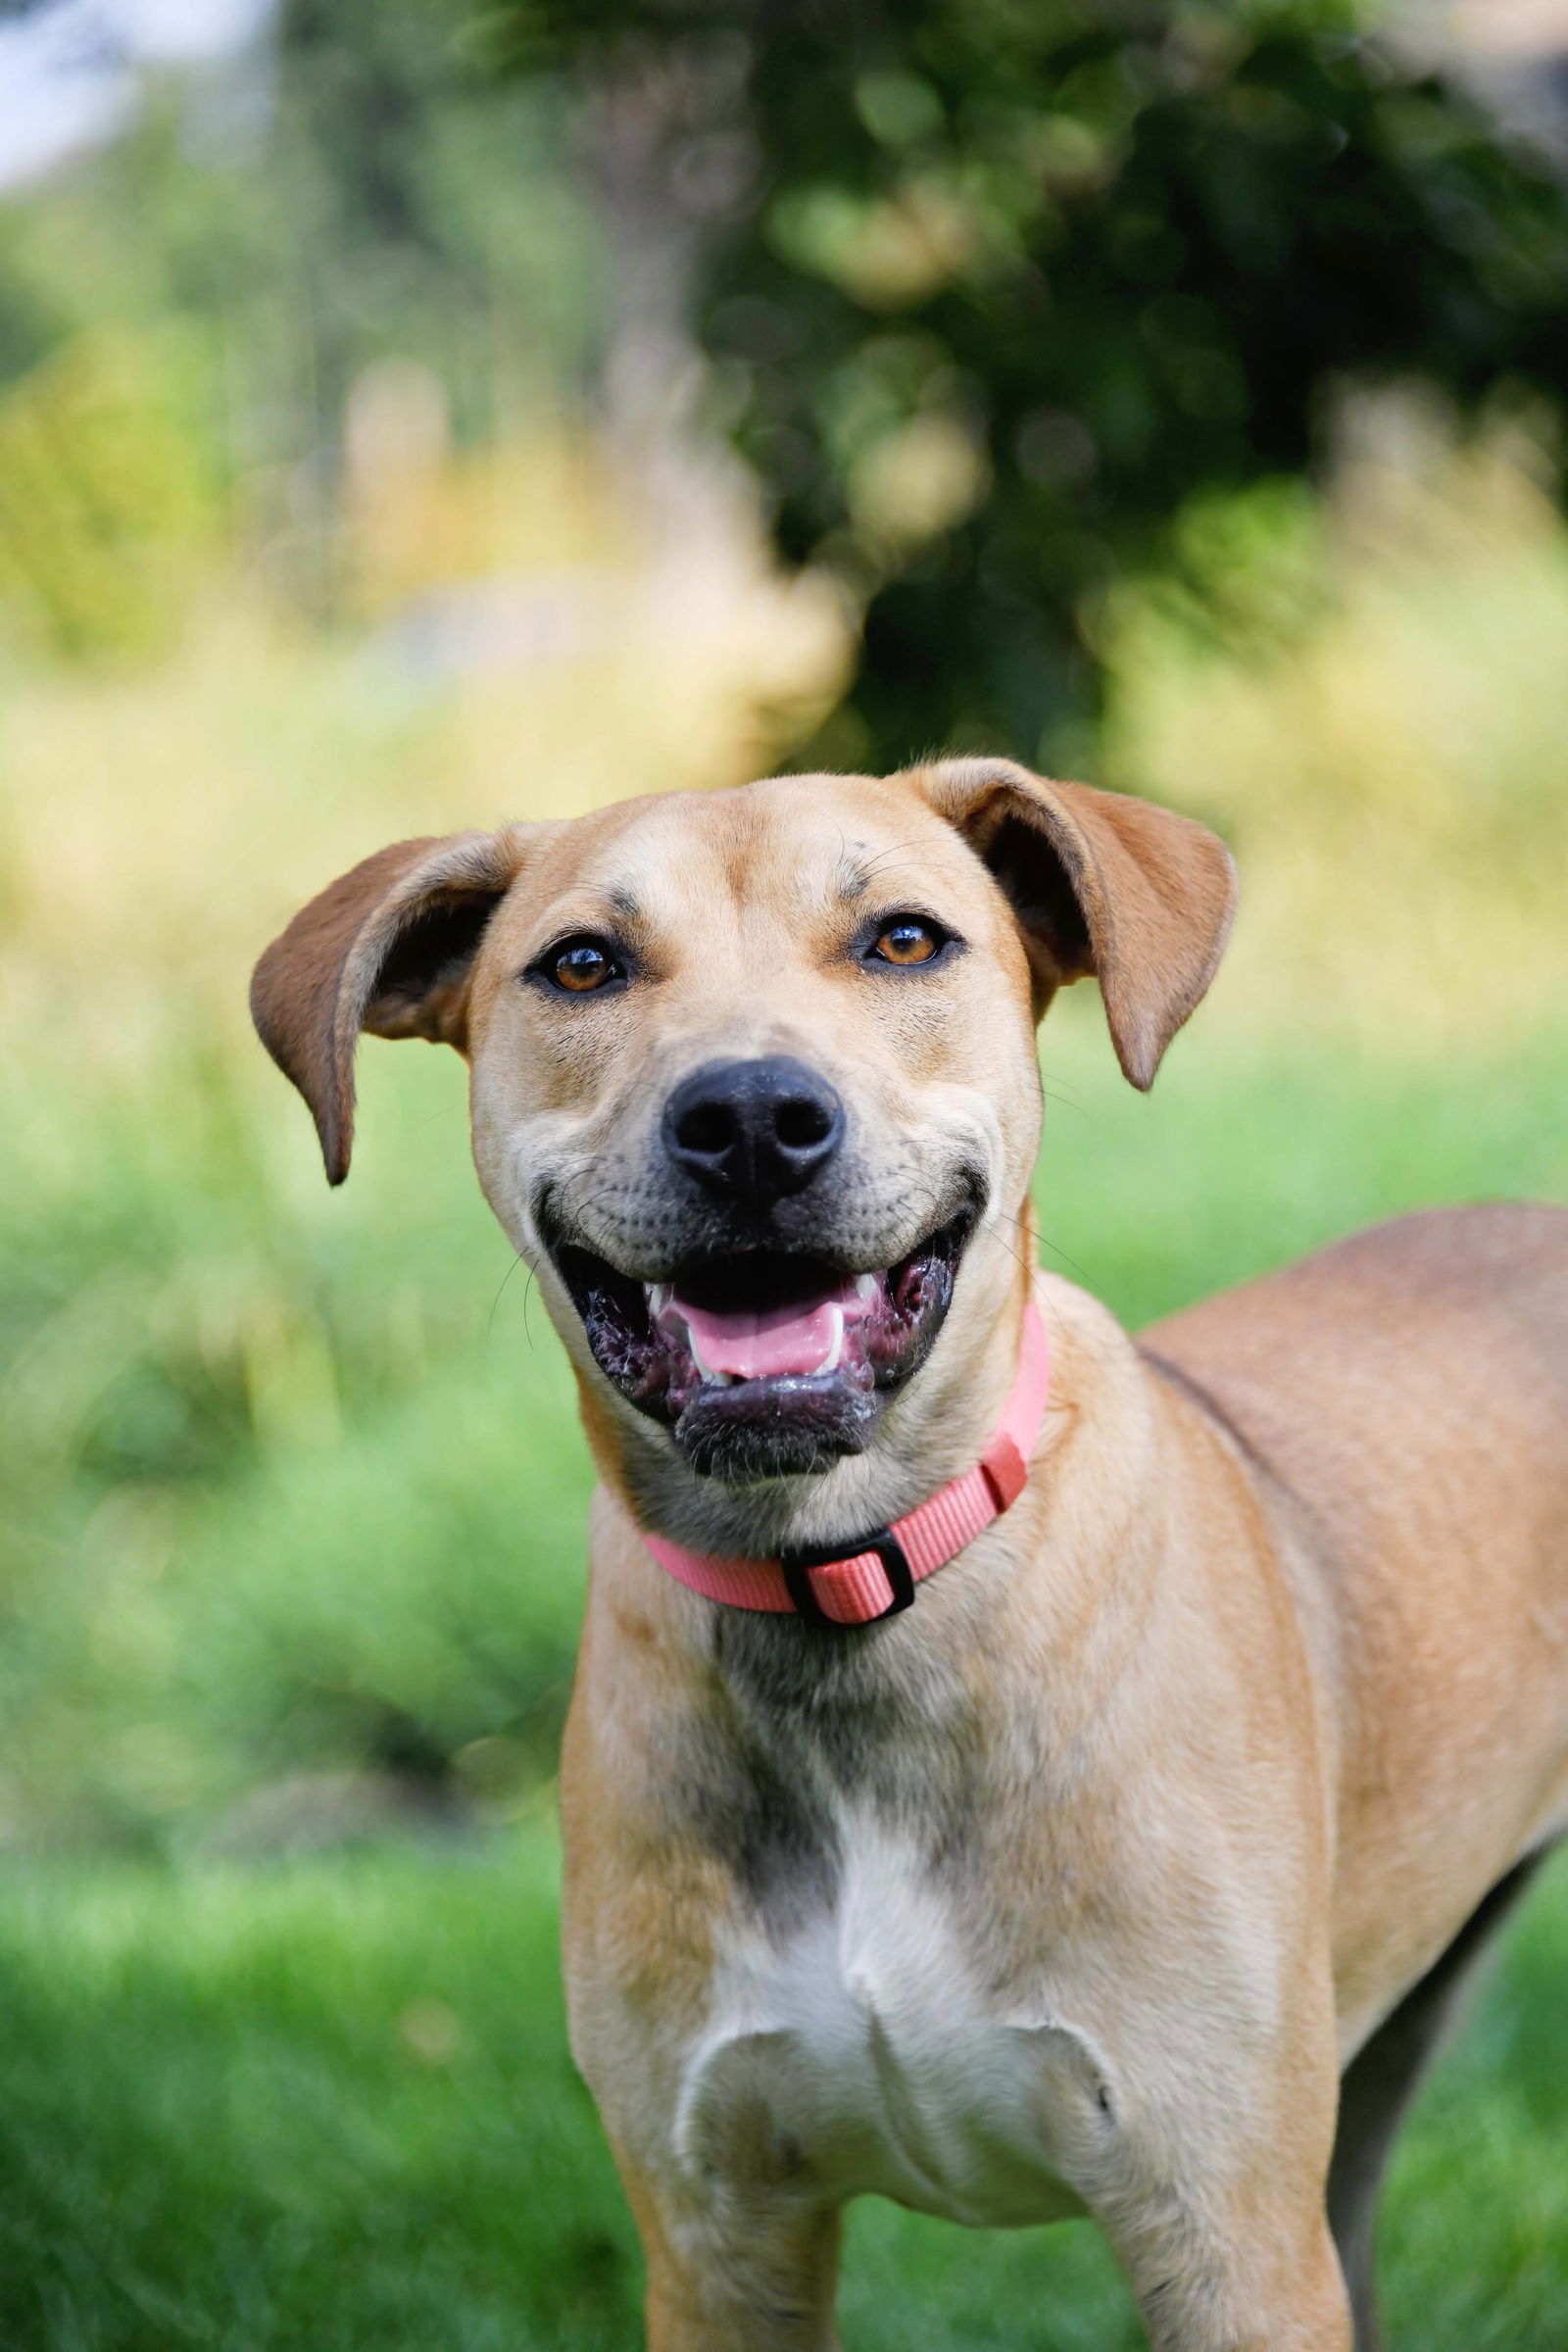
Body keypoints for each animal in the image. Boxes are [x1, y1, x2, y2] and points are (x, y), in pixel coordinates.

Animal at [248, 761, 1568, 2342]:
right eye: (581, 964)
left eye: (903, 941)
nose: (753, 1118)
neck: (847, 1578)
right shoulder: (718, 2239)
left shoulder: (1228, 2237)